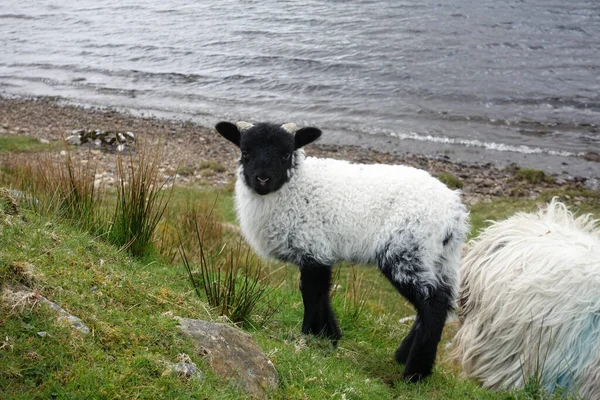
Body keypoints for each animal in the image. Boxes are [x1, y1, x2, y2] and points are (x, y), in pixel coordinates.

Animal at [214, 122, 468, 382]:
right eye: (245, 152)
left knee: (433, 304)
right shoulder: (320, 252)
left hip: (407, 250)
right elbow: (321, 293)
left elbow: (312, 293)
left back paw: (415, 373)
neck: (296, 186)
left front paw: (308, 337)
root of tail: (454, 213)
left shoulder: (313, 245)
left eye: (286, 154)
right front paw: (329, 336)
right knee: (442, 301)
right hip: (440, 258)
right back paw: (403, 356)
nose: (262, 179)